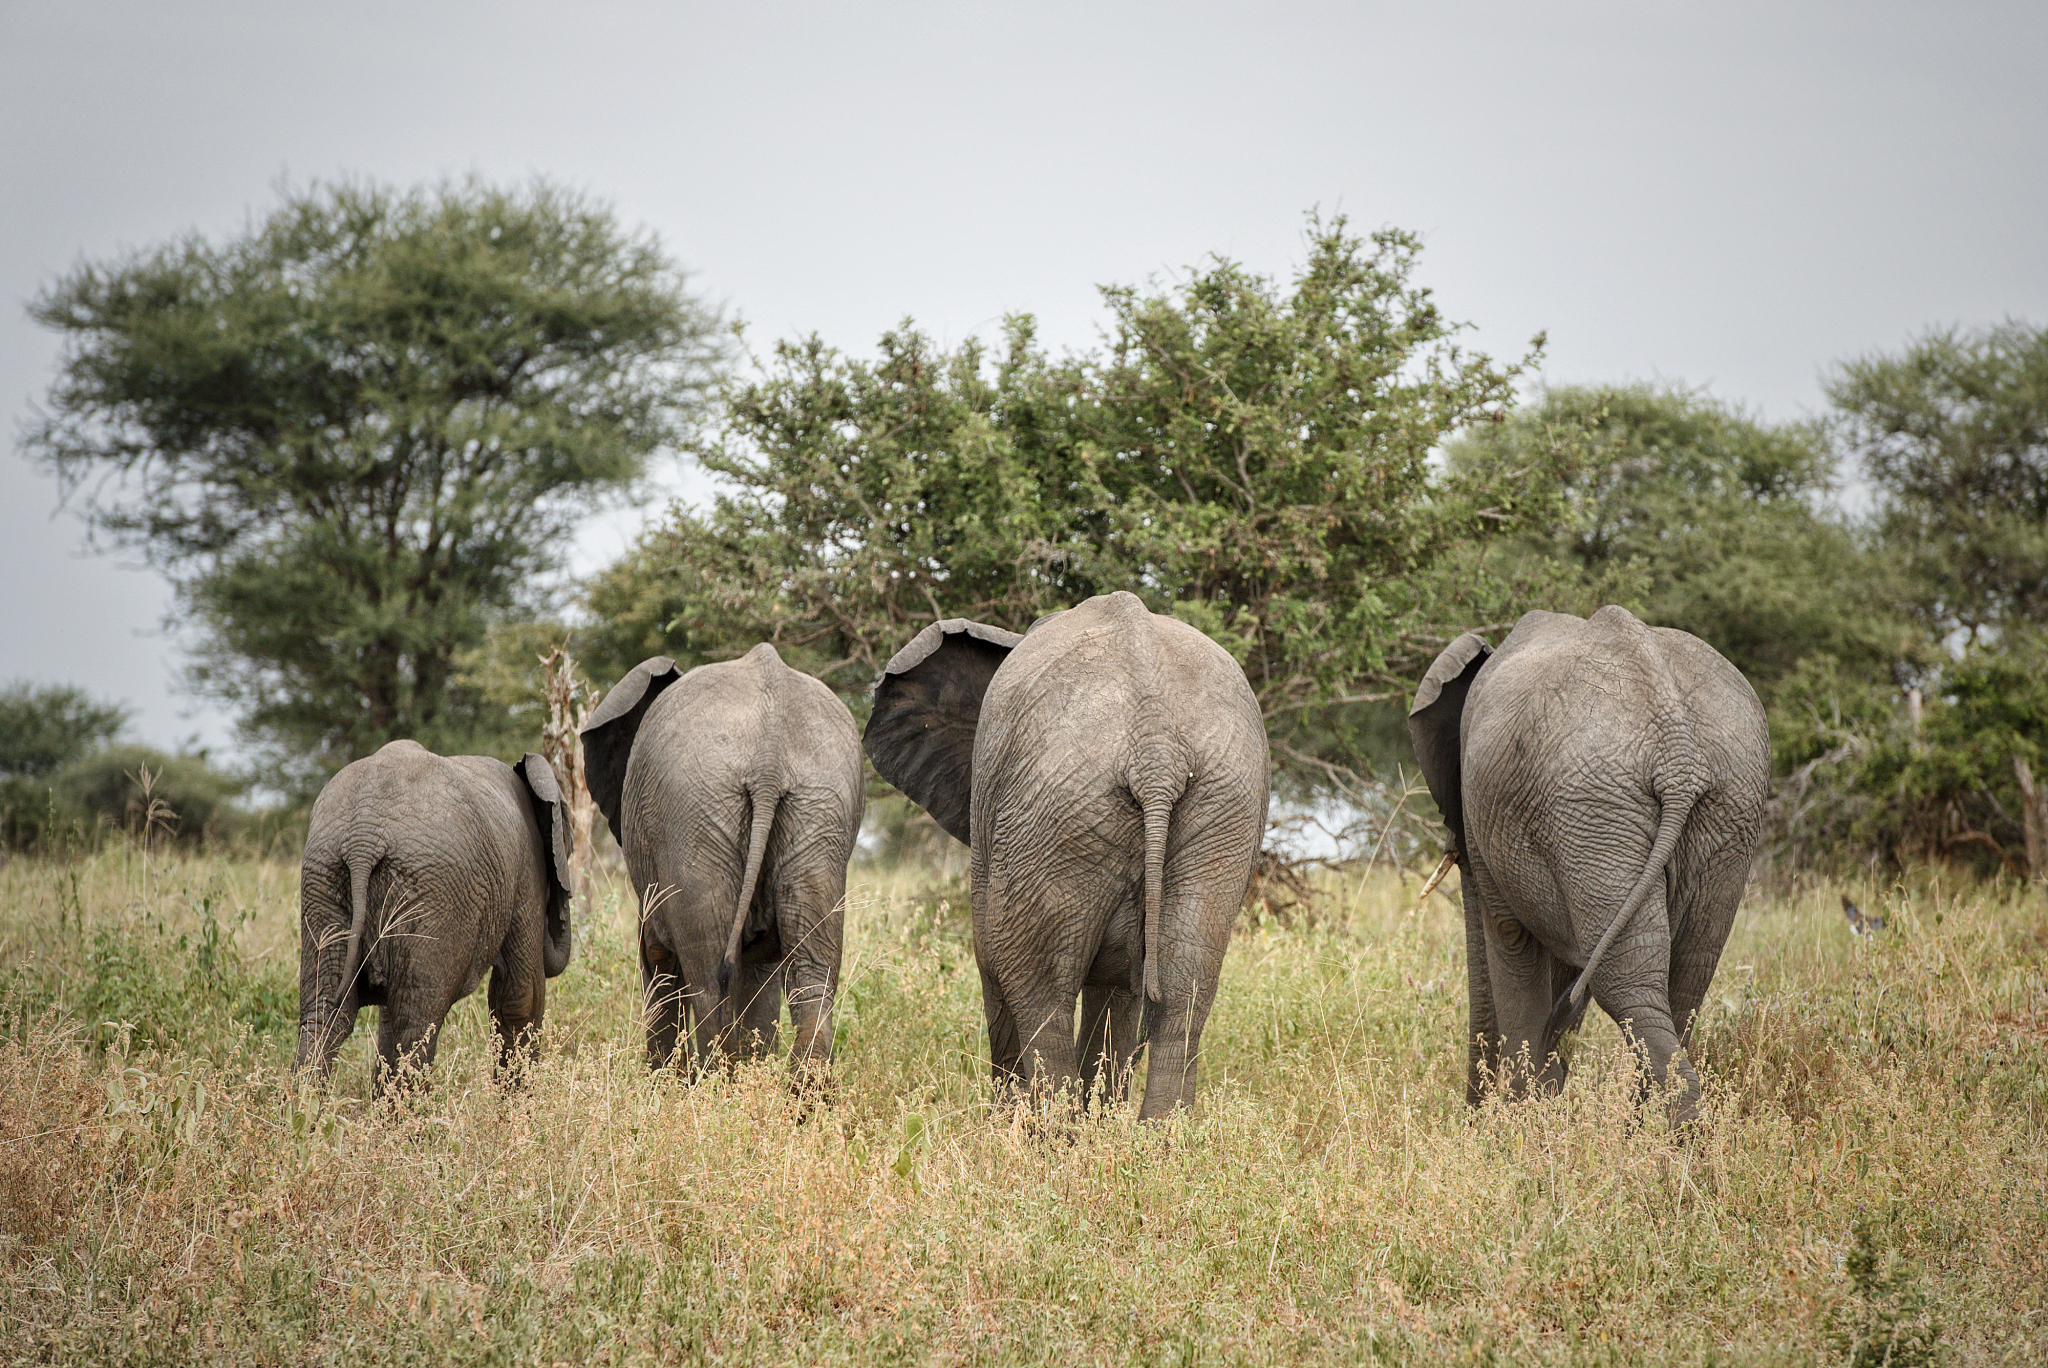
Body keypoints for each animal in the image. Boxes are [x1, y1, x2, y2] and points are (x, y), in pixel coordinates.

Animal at [295, 740, 574, 1092]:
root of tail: (363, 838)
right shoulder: (527, 868)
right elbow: (519, 996)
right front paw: (519, 1105)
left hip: (325, 877)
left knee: (326, 1015)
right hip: (432, 893)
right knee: (417, 1022)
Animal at [580, 644, 864, 1080]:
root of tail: (770, 754)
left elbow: (658, 962)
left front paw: (664, 1084)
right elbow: (762, 975)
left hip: (692, 813)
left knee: (709, 977)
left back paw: (716, 1083)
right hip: (820, 803)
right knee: (812, 966)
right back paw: (800, 1091)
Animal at [864, 591, 1270, 1120]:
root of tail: (1155, 750)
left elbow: (990, 956)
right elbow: (1121, 991)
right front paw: (1103, 1116)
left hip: (1057, 807)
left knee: (1036, 985)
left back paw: (1052, 1133)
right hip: (1220, 803)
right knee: (1187, 981)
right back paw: (1156, 1138)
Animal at [1407, 605, 1769, 1123]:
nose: (1472, 1118)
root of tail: (1677, 750)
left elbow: (1510, 937)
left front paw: (1525, 1123)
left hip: (1597, 806)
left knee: (1627, 984)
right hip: (1720, 808)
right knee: (1683, 979)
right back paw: (1649, 1138)